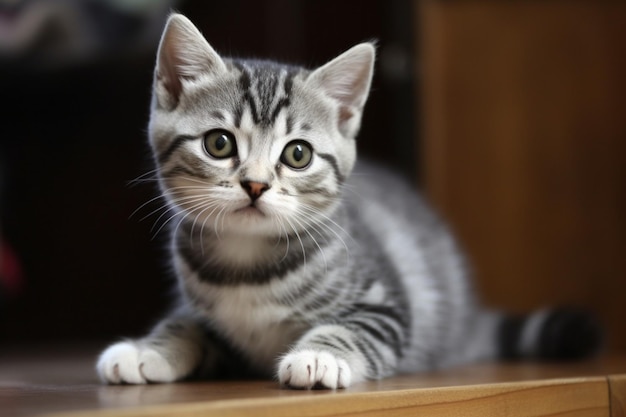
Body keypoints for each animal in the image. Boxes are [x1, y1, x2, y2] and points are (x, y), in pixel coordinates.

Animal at [96, 14, 600, 388]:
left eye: (297, 154)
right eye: (219, 144)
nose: (255, 185)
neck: (247, 263)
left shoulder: (388, 307)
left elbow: (353, 328)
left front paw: (318, 356)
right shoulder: (204, 315)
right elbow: (184, 323)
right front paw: (147, 349)